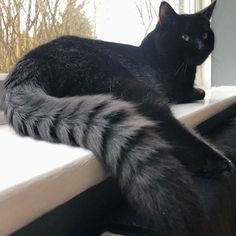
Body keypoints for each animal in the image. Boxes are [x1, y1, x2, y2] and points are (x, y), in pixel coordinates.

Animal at [1, 0, 232, 235]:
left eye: (205, 34)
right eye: (185, 37)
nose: (201, 47)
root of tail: (28, 64)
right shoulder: (177, 90)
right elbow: (194, 92)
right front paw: (198, 91)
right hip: (134, 89)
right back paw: (216, 161)